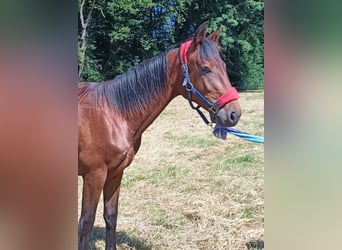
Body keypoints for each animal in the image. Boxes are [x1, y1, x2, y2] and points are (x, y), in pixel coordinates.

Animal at [79, 22, 242, 250]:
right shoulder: (93, 176)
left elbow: (111, 217)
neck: (114, 113)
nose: (234, 114)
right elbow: (86, 224)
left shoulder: (114, 173)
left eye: (224, 66)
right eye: (205, 68)